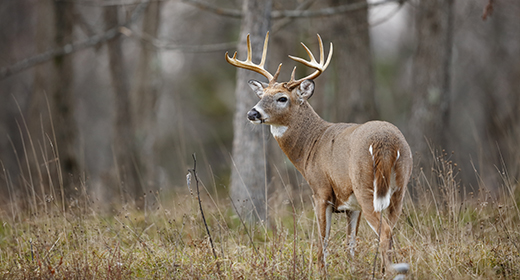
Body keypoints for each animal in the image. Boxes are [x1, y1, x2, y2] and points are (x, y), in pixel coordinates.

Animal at [225, 32, 412, 272]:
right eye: (262, 95)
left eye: (282, 98)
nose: (252, 113)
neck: (311, 146)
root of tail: (386, 143)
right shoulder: (352, 205)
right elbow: (350, 243)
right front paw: (351, 270)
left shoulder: (321, 190)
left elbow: (323, 239)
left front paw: (321, 270)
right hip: (399, 188)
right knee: (391, 229)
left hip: (365, 186)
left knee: (385, 232)